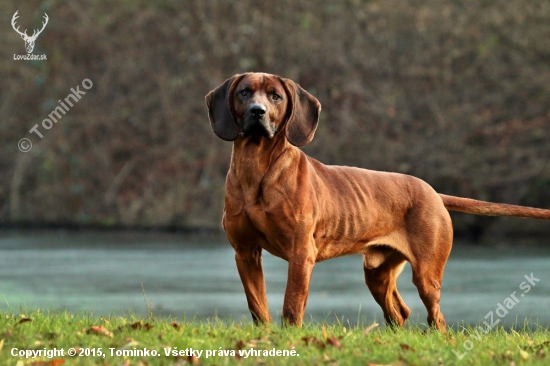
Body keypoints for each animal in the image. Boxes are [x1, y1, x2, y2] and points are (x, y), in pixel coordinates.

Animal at [206, 72, 550, 332]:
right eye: (244, 92)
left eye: (276, 97)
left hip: (427, 273)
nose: (257, 112)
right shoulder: (245, 252)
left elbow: (292, 305)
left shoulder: (301, 253)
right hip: (377, 272)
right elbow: (257, 305)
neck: (257, 169)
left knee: (437, 319)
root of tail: (433, 192)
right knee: (400, 313)